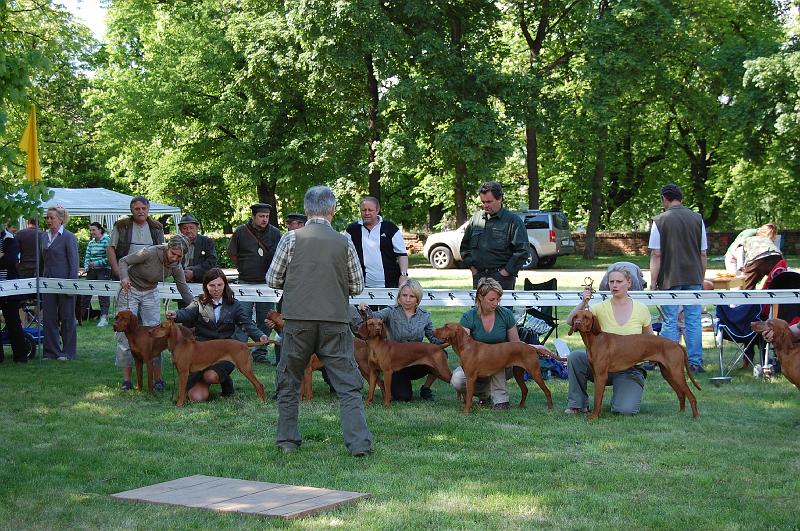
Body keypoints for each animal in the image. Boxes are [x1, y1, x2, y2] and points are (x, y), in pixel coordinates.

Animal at [568, 310, 700, 422]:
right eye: (575, 316)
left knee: (691, 396)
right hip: (668, 374)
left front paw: (594, 417)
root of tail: (676, 344)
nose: (577, 323)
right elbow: (597, 397)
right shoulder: (596, 375)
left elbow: (597, 399)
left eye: (586, 317)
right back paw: (680, 413)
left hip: (676, 373)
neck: (595, 340)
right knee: (681, 394)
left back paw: (695, 417)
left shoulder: (601, 376)